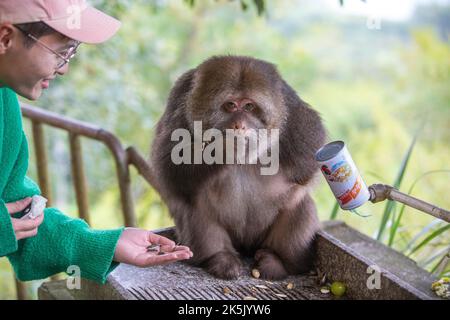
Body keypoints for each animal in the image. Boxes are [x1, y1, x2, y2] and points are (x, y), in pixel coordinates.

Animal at [151, 55, 326, 280]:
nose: (239, 125)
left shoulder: (286, 98)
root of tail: (246, 246)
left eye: (249, 106)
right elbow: (169, 161)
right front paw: (222, 149)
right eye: (231, 105)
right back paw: (219, 258)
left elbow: (310, 146)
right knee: (195, 206)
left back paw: (279, 263)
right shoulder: (180, 98)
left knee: (298, 203)